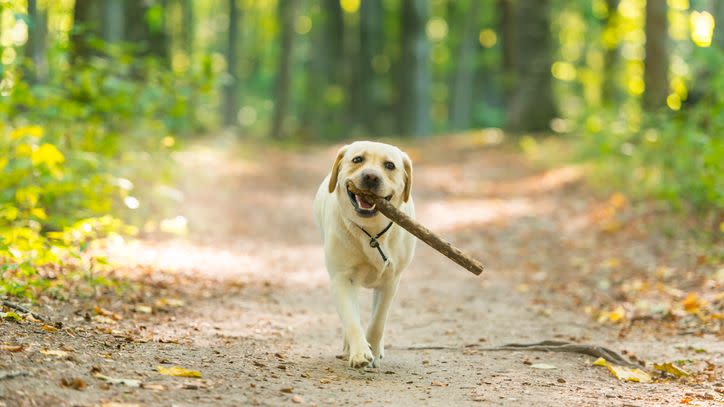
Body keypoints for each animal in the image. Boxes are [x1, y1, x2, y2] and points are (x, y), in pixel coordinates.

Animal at [314, 141, 416, 370]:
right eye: (357, 159)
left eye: (390, 165)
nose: (370, 176)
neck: (372, 233)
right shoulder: (342, 279)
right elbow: (352, 320)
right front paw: (360, 352)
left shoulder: (390, 282)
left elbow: (378, 322)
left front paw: (374, 351)